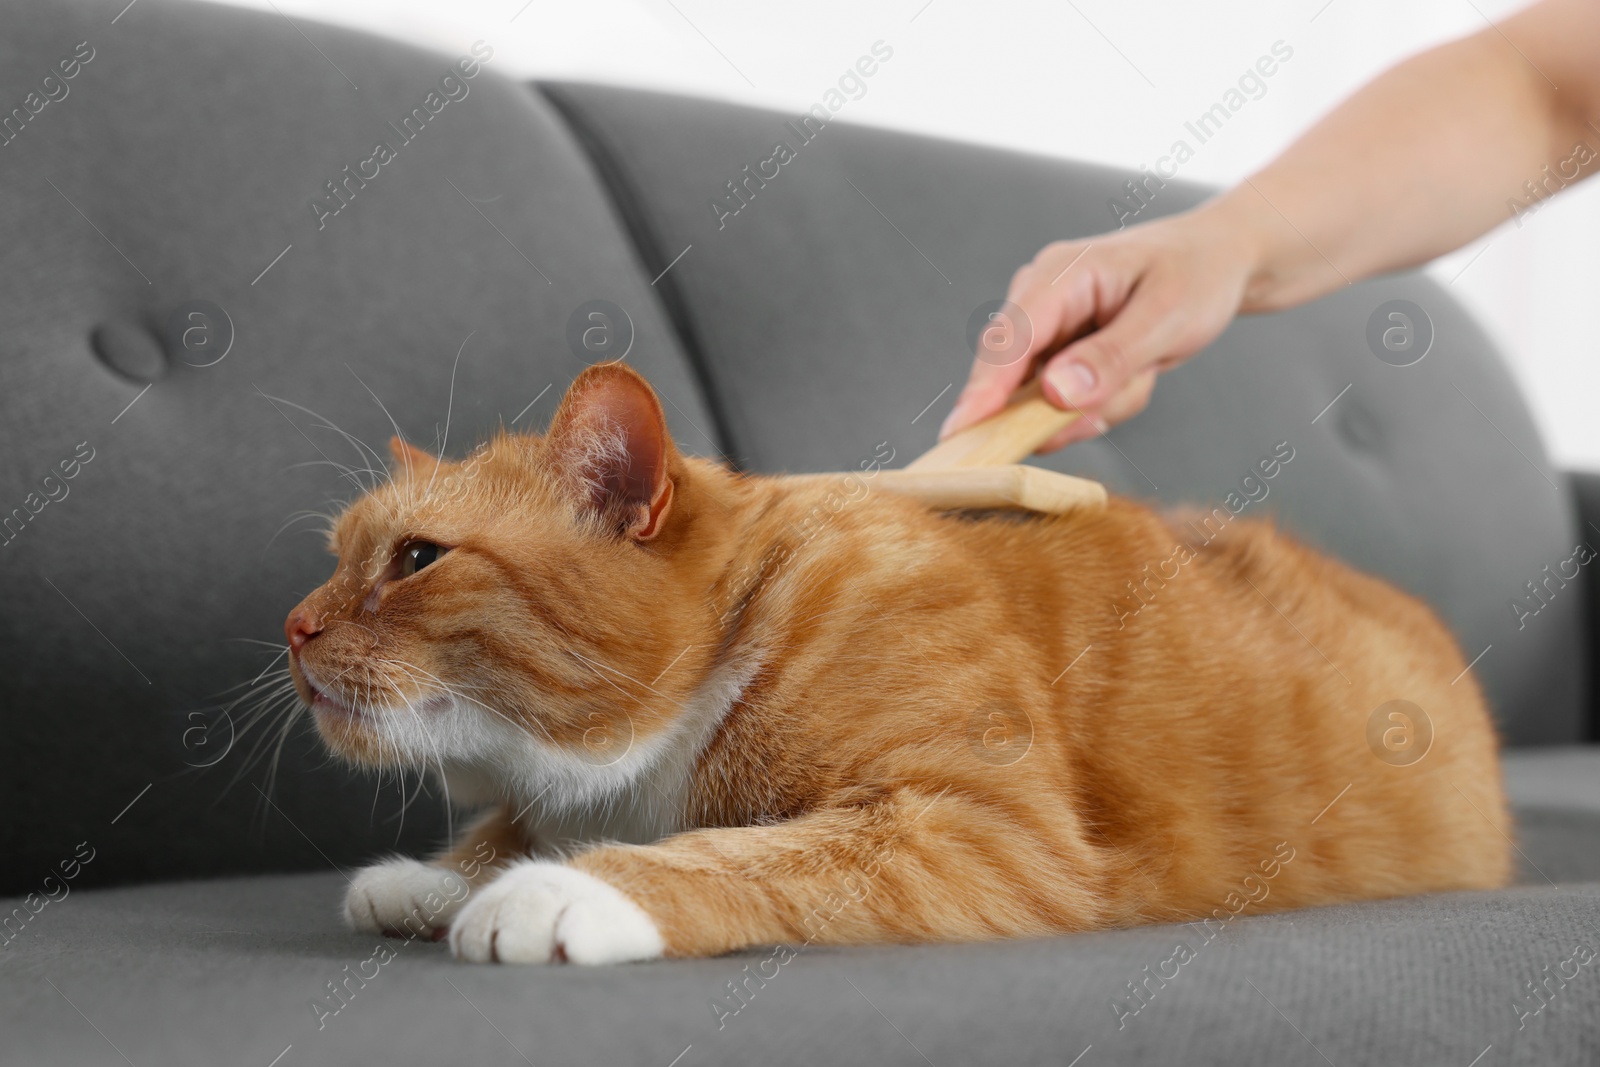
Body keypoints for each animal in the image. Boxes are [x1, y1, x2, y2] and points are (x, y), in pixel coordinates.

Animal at [281, 361, 1504, 966]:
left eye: (417, 558)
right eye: (335, 556)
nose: (291, 626)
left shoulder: (980, 829)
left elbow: (739, 853)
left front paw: (563, 886)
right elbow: (507, 824)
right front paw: (440, 873)